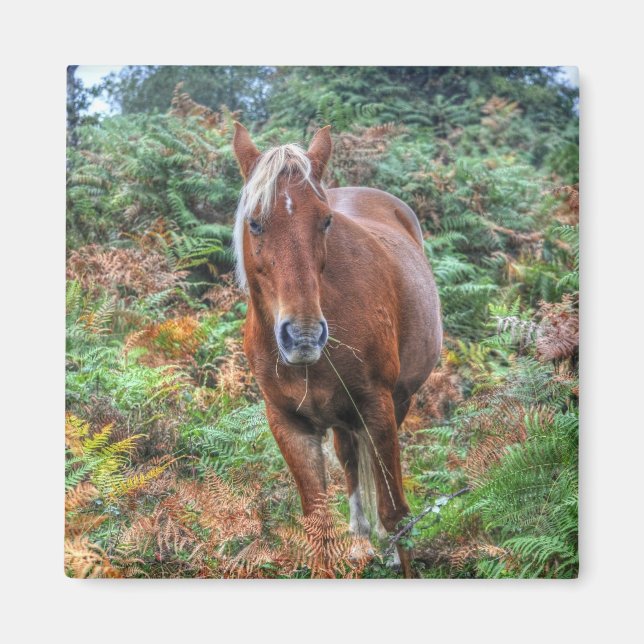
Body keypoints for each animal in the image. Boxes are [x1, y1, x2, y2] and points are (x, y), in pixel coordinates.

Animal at [231, 123, 442, 577]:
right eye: (255, 223)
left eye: (326, 221)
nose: (304, 336)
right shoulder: (290, 425)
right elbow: (317, 522)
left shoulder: (377, 407)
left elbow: (396, 512)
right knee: (349, 460)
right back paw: (360, 541)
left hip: (398, 403)